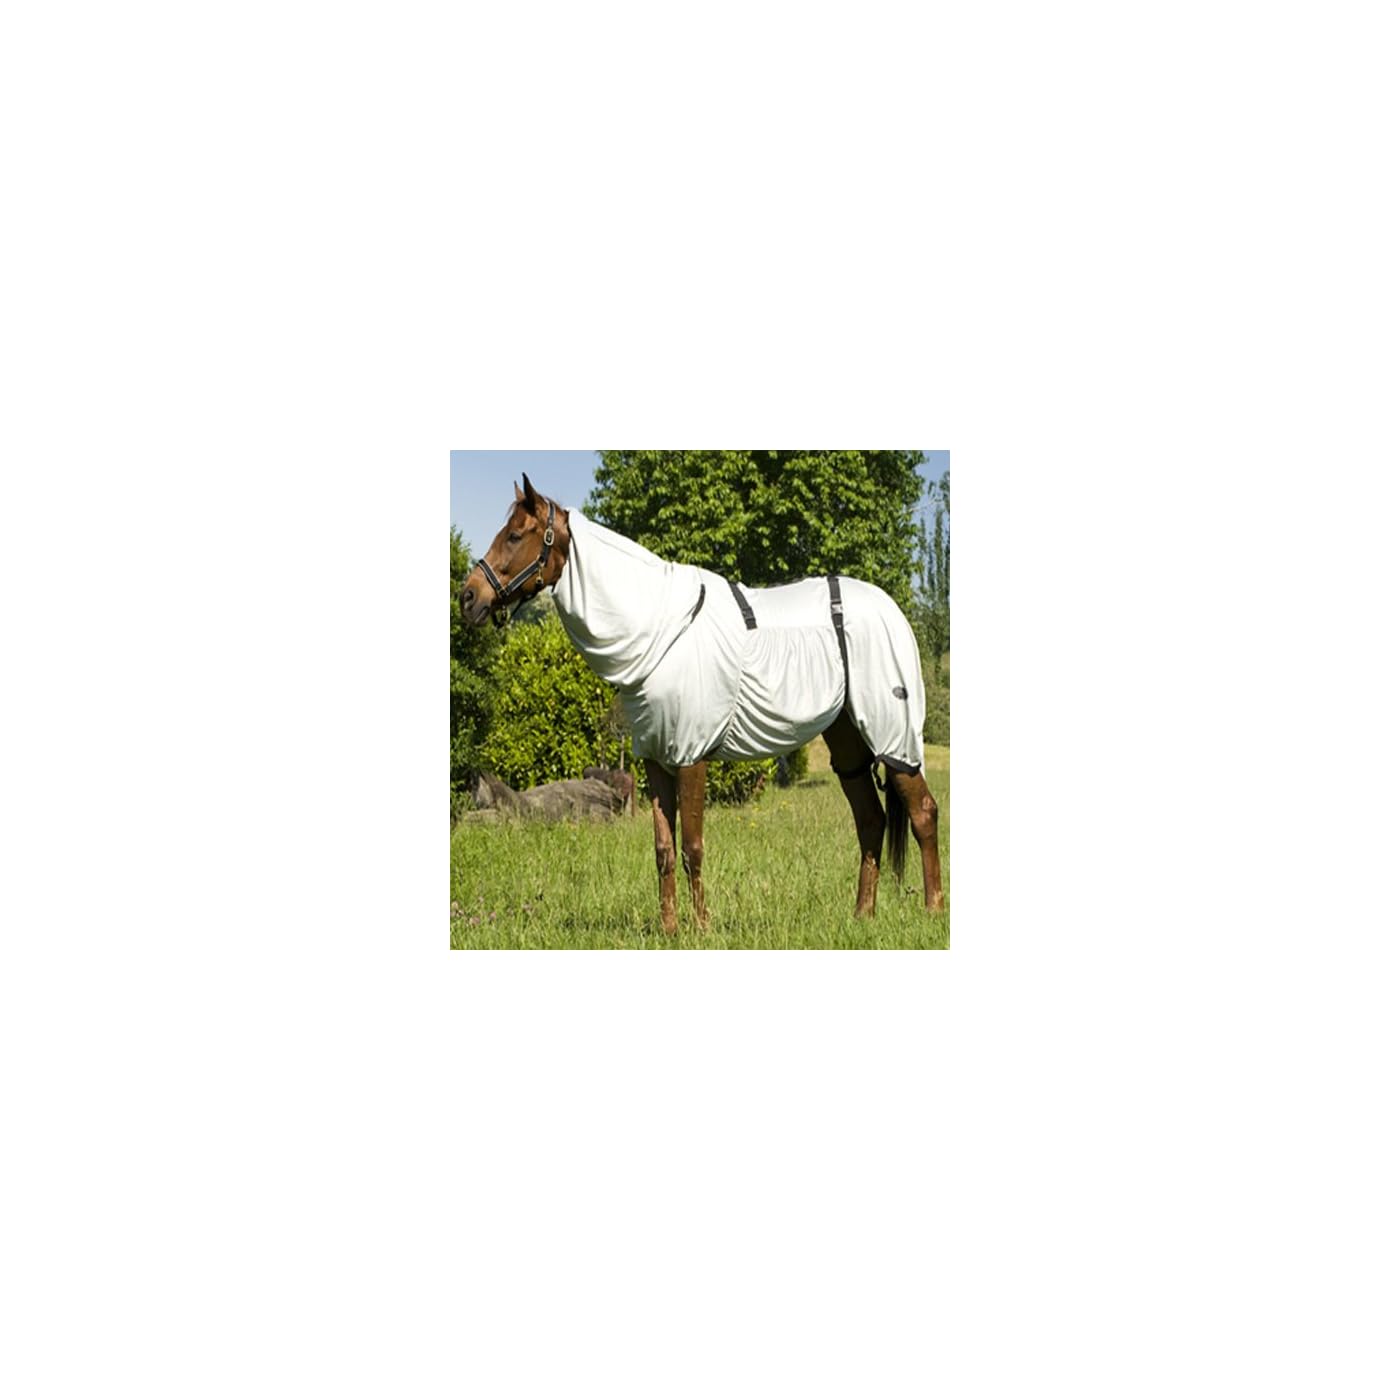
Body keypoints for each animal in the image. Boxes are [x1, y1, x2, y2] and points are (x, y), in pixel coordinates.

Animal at [459, 474, 945, 933]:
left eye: (515, 535)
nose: (468, 597)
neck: (658, 630)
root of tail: (891, 611)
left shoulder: (691, 754)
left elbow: (693, 846)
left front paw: (701, 927)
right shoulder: (656, 758)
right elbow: (664, 850)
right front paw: (670, 928)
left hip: (893, 734)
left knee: (922, 813)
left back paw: (932, 911)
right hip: (846, 741)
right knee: (871, 820)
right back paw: (862, 916)